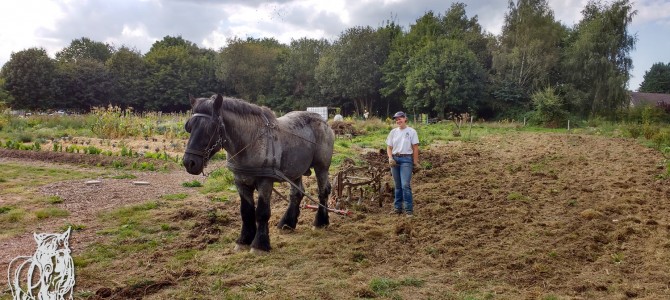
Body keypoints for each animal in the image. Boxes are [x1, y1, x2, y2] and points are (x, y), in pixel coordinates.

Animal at [181, 94, 336, 253]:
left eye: (210, 128)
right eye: (189, 127)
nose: (189, 162)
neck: (250, 141)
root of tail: (323, 120)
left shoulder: (265, 181)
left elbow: (262, 212)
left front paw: (259, 245)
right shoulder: (240, 182)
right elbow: (246, 212)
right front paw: (243, 240)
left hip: (321, 167)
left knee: (323, 191)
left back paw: (320, 222)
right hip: (295, 169)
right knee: (297, 193)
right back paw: (287, 223)